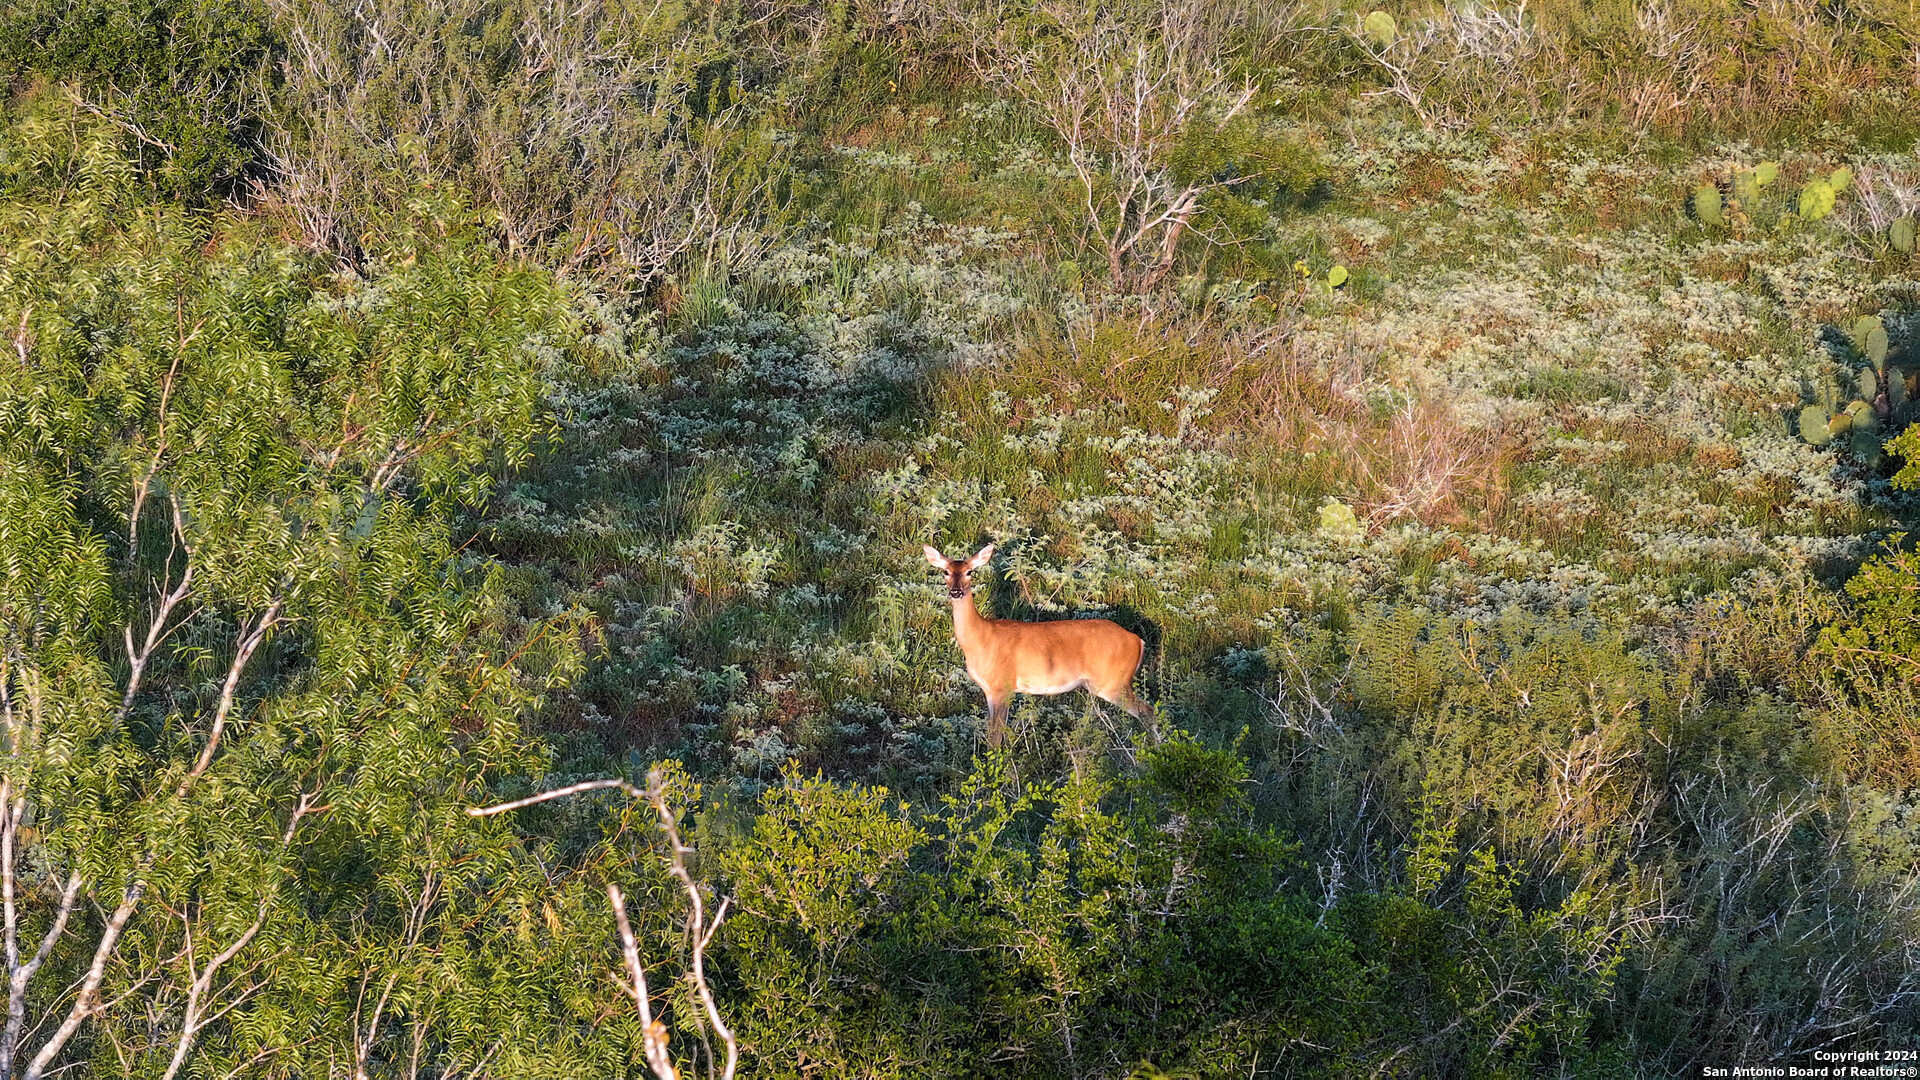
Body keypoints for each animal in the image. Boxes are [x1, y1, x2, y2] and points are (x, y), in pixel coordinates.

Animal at [921, 541, 1144, 745]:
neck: (981, 638)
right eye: (946, 572)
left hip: (1114, 682)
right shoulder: (989, 690)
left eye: (969, 572)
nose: (956, 592)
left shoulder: (1003, 686)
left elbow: (996, 736)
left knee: (1146, 713)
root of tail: (1137, 641)